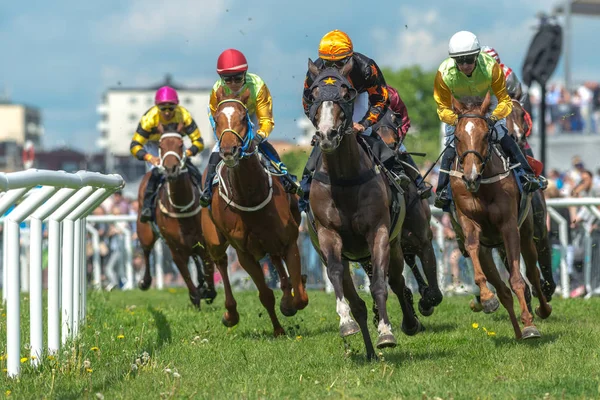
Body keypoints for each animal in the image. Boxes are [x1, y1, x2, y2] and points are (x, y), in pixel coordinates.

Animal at [137, 126, 217, 308]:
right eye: (161, 145)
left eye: (180, 145)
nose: (171, 169)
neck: (181, 208)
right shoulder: (175, 248)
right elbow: (185, 275)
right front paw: (196, 296)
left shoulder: (203, 242)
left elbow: (208, 268)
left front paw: (206, 290)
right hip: (144, 230)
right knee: (146, 250)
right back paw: (145, 281)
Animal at [200, 87, 308, 338]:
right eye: (216, 119)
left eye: (243, 118)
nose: (228, 151)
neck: (250, 195)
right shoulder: (244, 254)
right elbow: (265, 295)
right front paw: (278, 329)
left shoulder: (289, 240)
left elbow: (300, 296)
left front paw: (289, 302)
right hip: (215, 240)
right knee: (221, 263)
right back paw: (230, 313)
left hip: (273, 241)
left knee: (277, 261)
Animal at [304, 57, 422, 360]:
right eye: (313, 94)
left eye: (346, 94)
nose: (327, 135)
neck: (344, 177)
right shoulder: (327, 236)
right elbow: (336, 276)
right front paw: (345, 323)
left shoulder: (378, 231)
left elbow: (380, 283)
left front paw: (386, 333)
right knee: (357, 301)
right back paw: (368, 351)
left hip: (394, 246)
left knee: (397, 282)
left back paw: (409, 323)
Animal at [448, 92, 552, 340]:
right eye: (456, 137)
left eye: (486, 135)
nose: (471, 176)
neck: (483, 186)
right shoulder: (469, 225)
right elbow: (473, 247)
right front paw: (486, 299)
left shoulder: (509, 227)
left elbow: (518, 279)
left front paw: (530, 325)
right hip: (490, 250)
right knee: (503, 291)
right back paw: (516, 328)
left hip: (527, 235)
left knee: (532, 273)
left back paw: (539, 313)